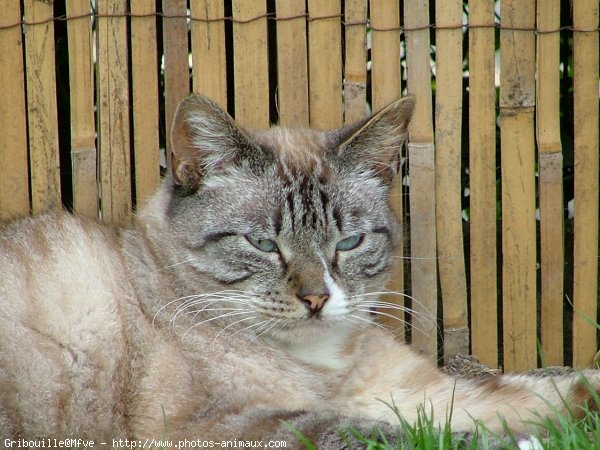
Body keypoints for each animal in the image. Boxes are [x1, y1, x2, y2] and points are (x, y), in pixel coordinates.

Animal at [0, 94, 596, 446]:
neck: (325, 364)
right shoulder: (224, 423)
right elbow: (390, 434)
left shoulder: (411, 390)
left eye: (349, 242)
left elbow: (526, 391)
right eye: (263, 244)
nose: (316, 299)